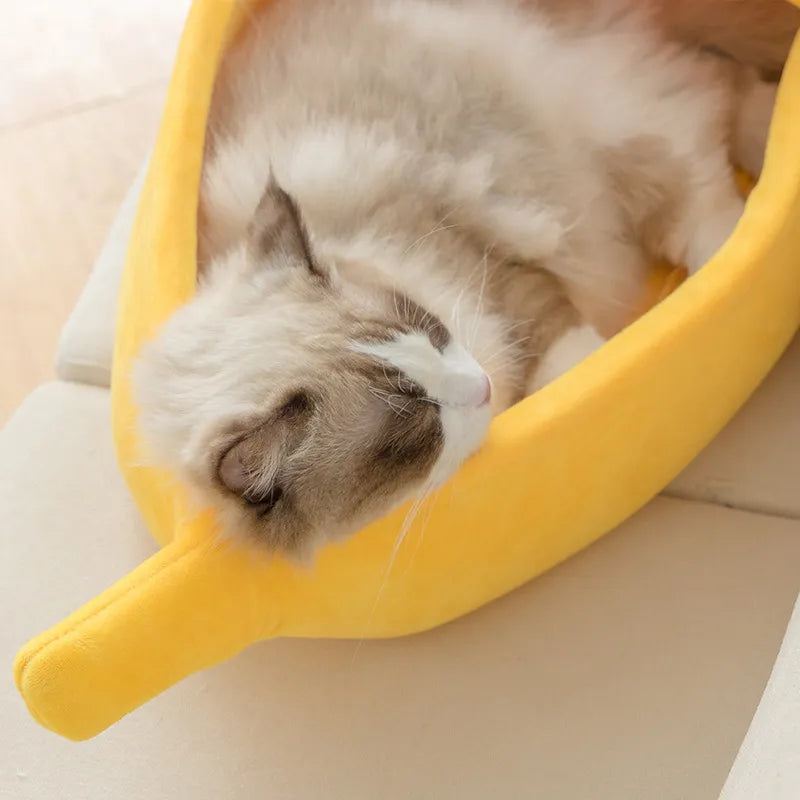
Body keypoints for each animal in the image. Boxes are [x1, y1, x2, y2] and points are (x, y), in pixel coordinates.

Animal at [134, 0, 792, 556]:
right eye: (412, 434)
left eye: (429, 329)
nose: (481, 387)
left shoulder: (492, 266)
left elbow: (567, 352)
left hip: (614, 127)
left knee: (713, 159)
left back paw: (741, 241)